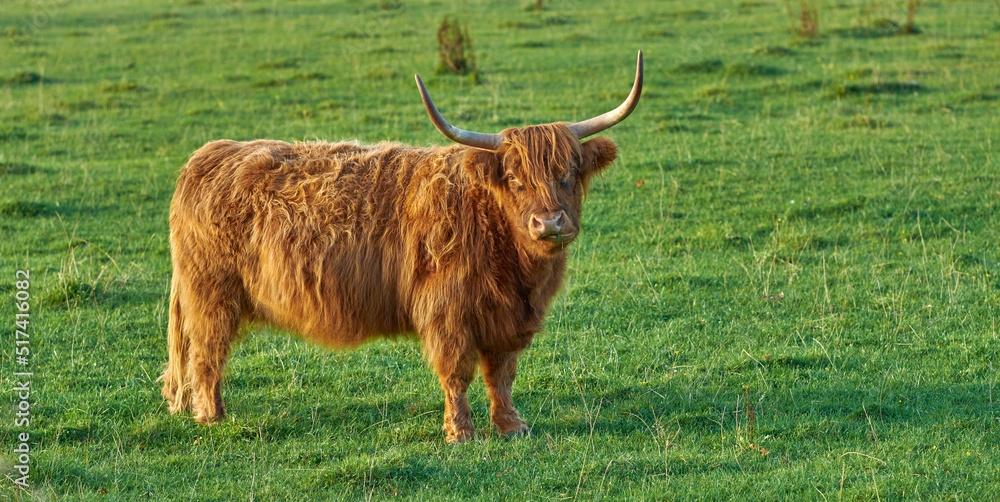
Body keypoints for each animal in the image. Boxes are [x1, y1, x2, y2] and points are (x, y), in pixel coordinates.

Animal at [156, 52, 640, 444]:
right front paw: (461, 433)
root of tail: (208, 156)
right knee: (207, 353)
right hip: (211, 294)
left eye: (570, 173)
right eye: (515, 179)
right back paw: (212, 417)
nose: (550, 223)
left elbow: (501, 374)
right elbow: (457, 372)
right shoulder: (447, 312)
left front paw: (511, 426)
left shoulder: (508, 318)